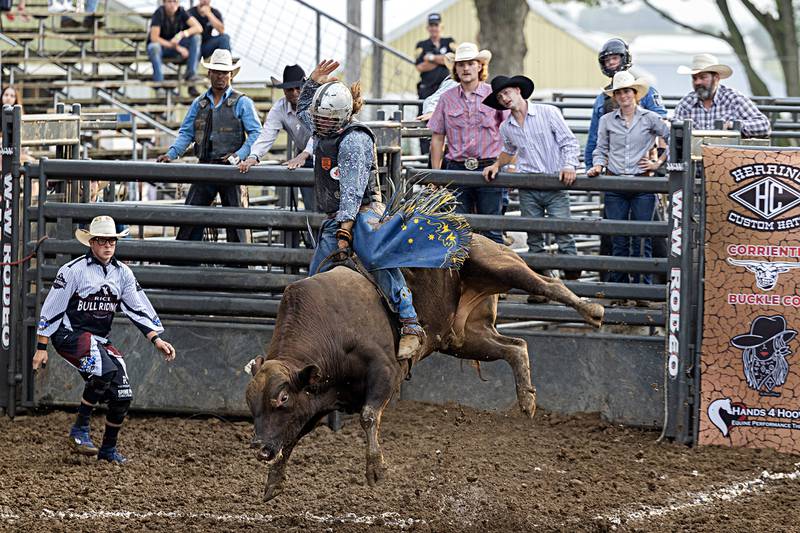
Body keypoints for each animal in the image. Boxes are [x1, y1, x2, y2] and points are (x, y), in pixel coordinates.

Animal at [247, 235, 604, 500]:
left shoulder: (385, 370)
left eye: (282, 399)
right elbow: (292, 435)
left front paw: (376, 469)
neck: (330, 325)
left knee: (547, 285)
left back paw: (593, 310)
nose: (260, 449)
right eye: (251, 405)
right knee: (515, 347)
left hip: (499, 265)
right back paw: (527, 399)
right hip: (462, 337)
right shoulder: (317, 397)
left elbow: (368, 415)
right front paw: (273, 480)